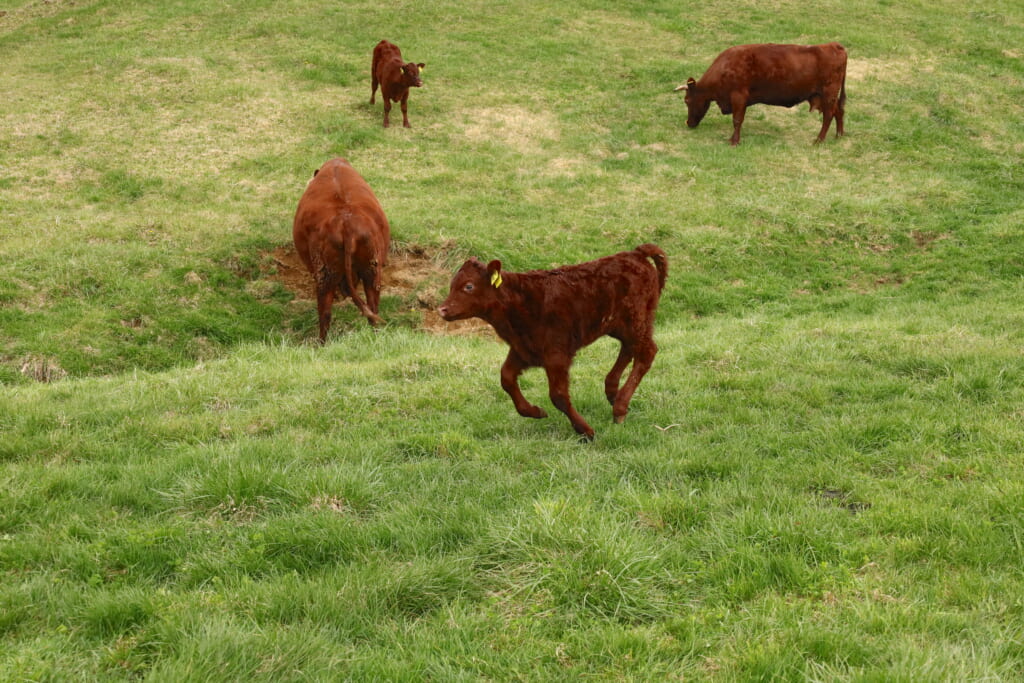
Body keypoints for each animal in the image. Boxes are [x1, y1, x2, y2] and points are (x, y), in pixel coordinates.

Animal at [296, 158, 391, 344]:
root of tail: (346, 223)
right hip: (371, 270)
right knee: (372, 308)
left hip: (325, 275)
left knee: (325, 313)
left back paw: (321, 343)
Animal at [436, 245, 667, 444]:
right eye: (452, 285)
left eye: (468, 286)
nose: (442, 309)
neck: (519, 304)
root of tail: (636, 253)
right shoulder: (523, 350)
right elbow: (506, 378)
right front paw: (535, 411)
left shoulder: (556, 355)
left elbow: (558, 396)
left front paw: (586, 431)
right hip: (624, 325)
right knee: (630, 348)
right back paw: (613, 393)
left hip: (636, 320)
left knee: (647, 352)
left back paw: (619, 408)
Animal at [671, 43, 847, 145]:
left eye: (686, 100)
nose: (688, 123)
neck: (725, 68)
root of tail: (834, 46)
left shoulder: (738, 97)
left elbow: (737, 120)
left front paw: (734, 141)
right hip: (824, 96)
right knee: (838, 111)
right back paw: (838, 135)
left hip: (828, 94)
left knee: (828, 115)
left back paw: (819, 140)